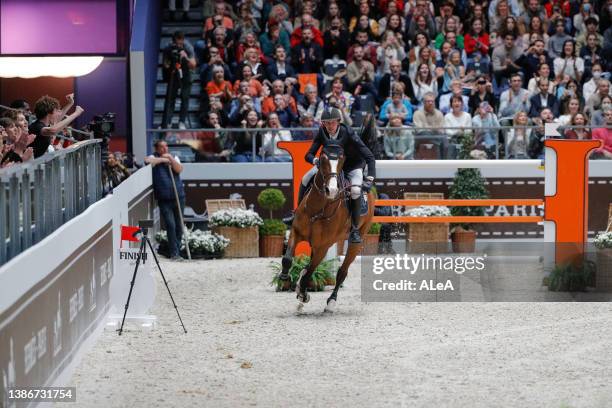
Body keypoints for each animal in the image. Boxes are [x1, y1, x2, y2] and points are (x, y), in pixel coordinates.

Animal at [280, 143, 376, 312]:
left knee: (342, 272)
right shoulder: (296, 233)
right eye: (323, 160)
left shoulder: (323, 247)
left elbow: (310, 272)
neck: (317, 210)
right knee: (308, 267)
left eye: (342, 160)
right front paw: (286, 278)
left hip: (356, 242)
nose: (331, 191)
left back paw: (331, 302)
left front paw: (303, 295)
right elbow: (288, 259)